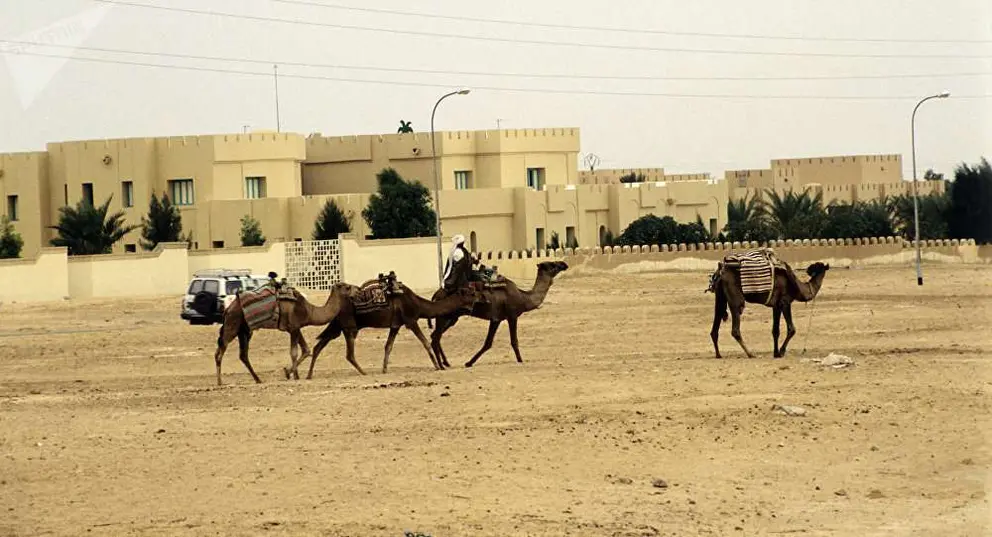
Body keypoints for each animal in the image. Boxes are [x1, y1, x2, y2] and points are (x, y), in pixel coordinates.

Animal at [211, 280, 354, 386]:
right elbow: (294, 352)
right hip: (232, 325)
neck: (309, 311)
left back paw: (258, 379)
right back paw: (219, 382)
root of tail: (228, 309)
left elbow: (306, 350)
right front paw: (295, 376)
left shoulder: (295, 328)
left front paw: (288, 372)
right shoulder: (294, 327)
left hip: (244, 331)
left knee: (243, 355)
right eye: (347, 287)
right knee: (220, 351)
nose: (357, 288)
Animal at [284, 278, 482, 378]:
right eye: (470, 293)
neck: (418, 304)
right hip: (348, 326)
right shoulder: (411, 320)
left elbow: (388, 346)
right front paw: (437, 366)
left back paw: (308, 375)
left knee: (319, 345)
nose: (479, 298)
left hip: (337, 326)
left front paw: (385, 369)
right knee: (347, 353)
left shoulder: (395, 325)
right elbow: (425, 342)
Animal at [428, 260, 572, 368]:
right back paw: (442, 364)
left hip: (452, 318)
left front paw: (469, 362)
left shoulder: (496, 319)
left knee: (435, 335)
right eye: (552, 264)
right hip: (445, 316)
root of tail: (436, 295)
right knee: (435, 337)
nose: (564, 264)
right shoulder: (512, 316)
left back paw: (446, 362)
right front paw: (520, 360)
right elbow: (514, 341)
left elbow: (488, 343)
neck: (524, 298)